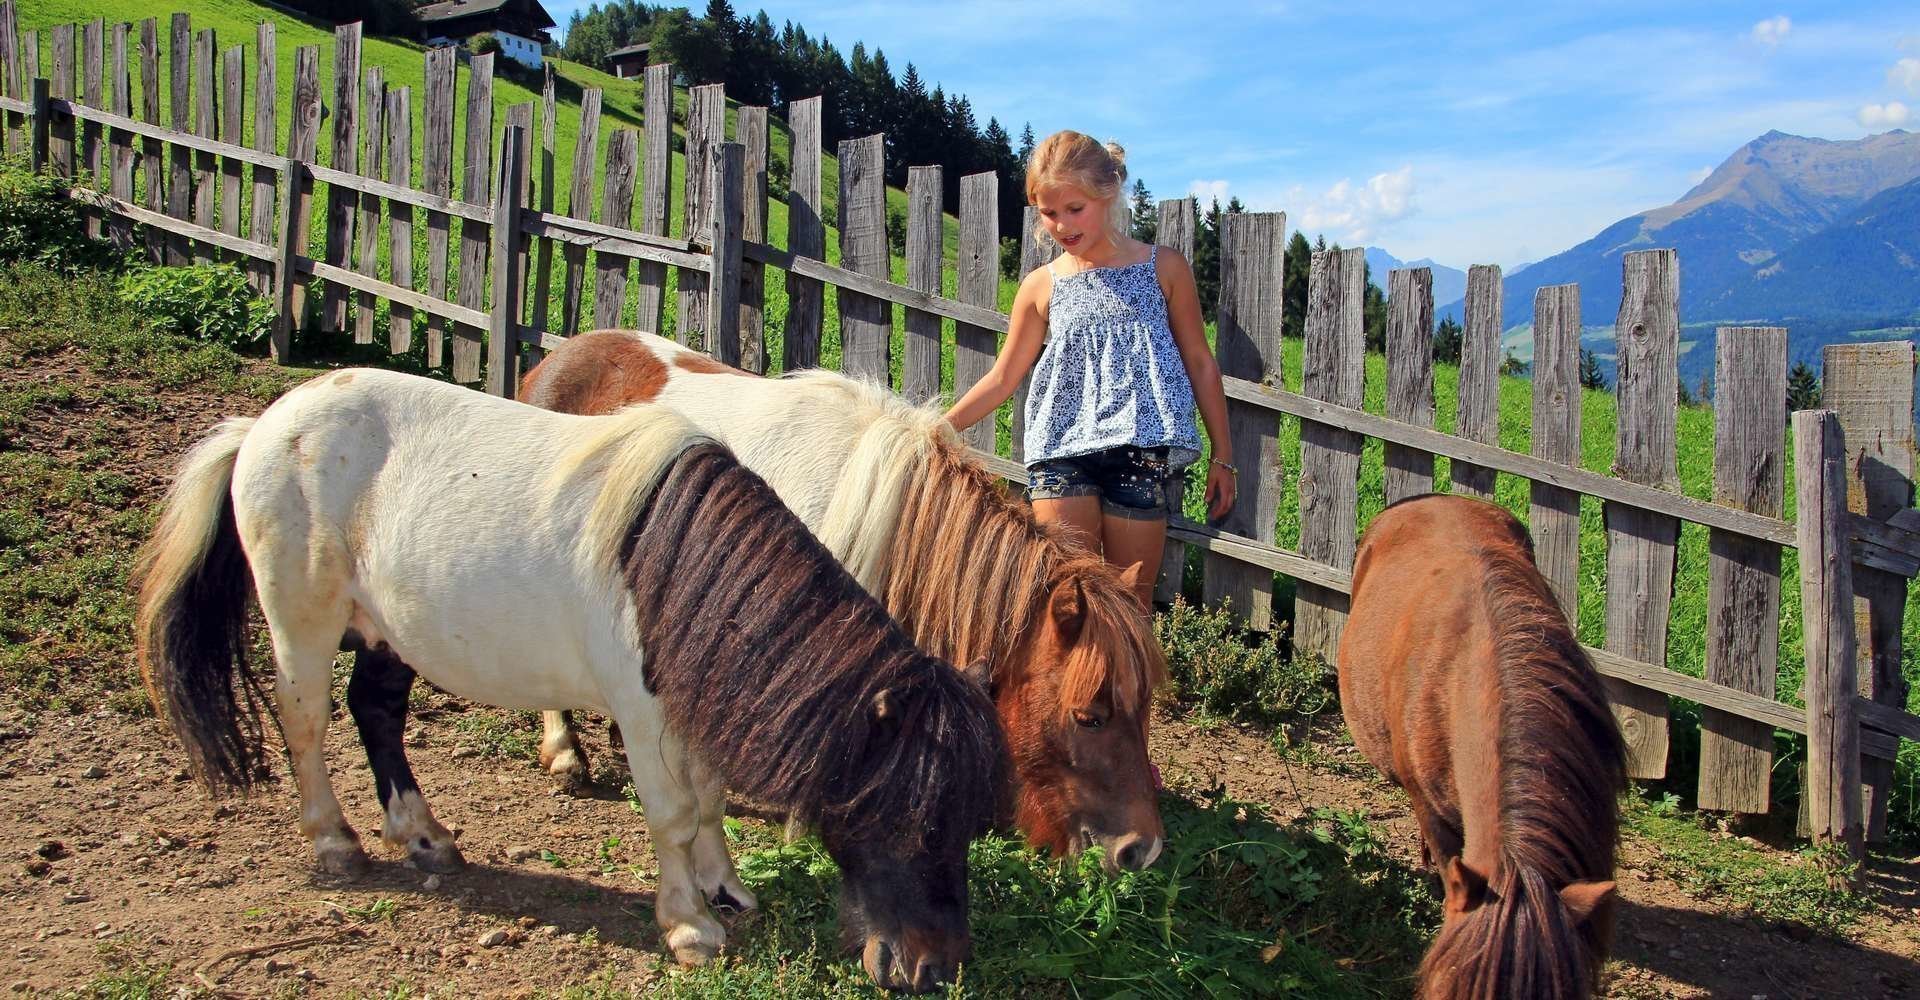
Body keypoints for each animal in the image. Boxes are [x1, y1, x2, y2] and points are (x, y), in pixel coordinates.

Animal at [135, 368, 1006, 990]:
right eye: (915, 819)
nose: (937, 969)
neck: (675, 566)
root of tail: (265, 424)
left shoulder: (691, 701)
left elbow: (709, 798)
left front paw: (725, 886)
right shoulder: (643, 711)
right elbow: (672, 812)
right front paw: (690, 924)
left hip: (386, 631)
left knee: (373, 711)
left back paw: (422, 834)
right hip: (302, 623)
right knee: (306, 721)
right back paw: (334, 841)